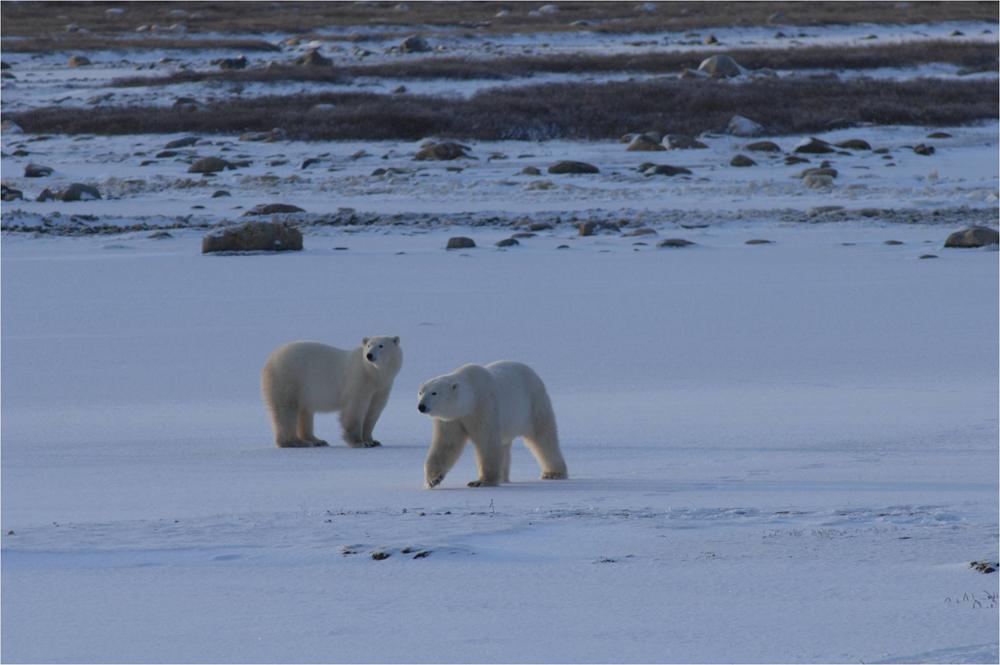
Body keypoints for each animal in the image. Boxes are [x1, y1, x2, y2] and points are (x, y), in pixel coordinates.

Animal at [261, 336, 402, 448]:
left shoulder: (382, 387)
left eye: (381, 345)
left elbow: (373, 411)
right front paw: (360, 443)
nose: (369, 355)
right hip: (288, 378)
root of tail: (270, 359)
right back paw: (296, 442)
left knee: (304, 412)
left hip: (302, 388)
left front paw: (373, 441)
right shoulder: (359, 379)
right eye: (368, 345)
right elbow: (354, 409)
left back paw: (317, 440)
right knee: (286, 410)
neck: (373, 374)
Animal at [417, 361, 568, 488]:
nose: (421, 406)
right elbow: (446, 445)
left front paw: (481, 481)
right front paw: (433, 480)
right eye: (420, 392)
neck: (471, 399)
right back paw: (503, 477)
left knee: (543, 437)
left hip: (534, 403)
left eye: (434, 393)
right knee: (506, 446)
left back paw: (553, 473)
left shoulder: (485, 406)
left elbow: (487, 441)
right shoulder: (452, 420)